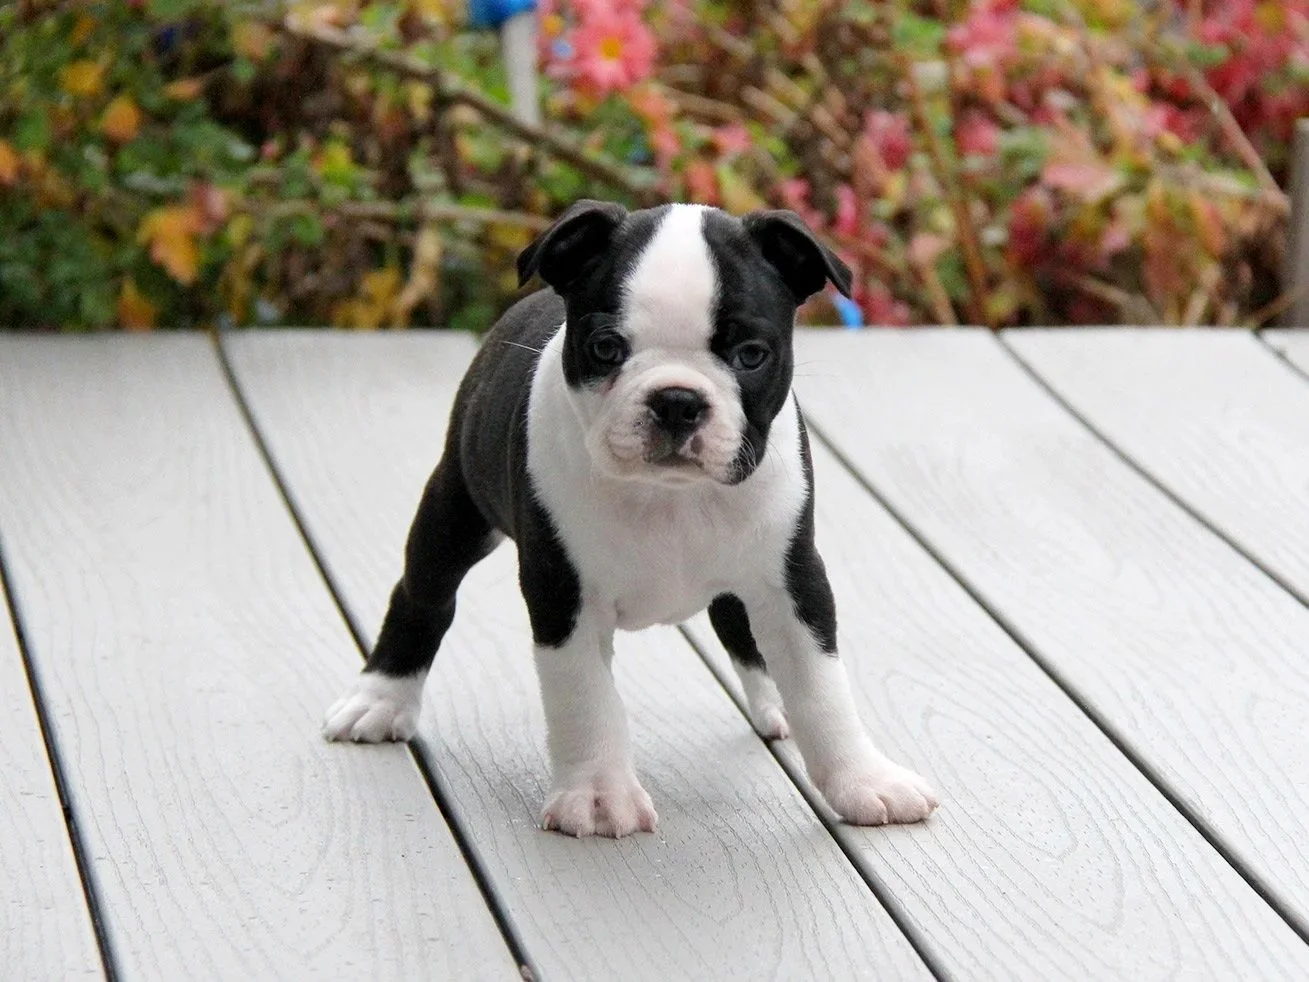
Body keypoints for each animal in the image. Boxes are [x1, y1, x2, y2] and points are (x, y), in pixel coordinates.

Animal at [322, 200, 938, 837]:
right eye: (606, 349)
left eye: (750, 355)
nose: (677, 400)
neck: (670, 498)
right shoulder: (563, 593)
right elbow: (585, 696)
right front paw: (597, 796)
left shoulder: (792, 579)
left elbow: (821, 686)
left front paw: (864, 781)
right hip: (455, 510)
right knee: (423, 596)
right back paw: (381, 699)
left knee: (740, 627)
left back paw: (773, 701)